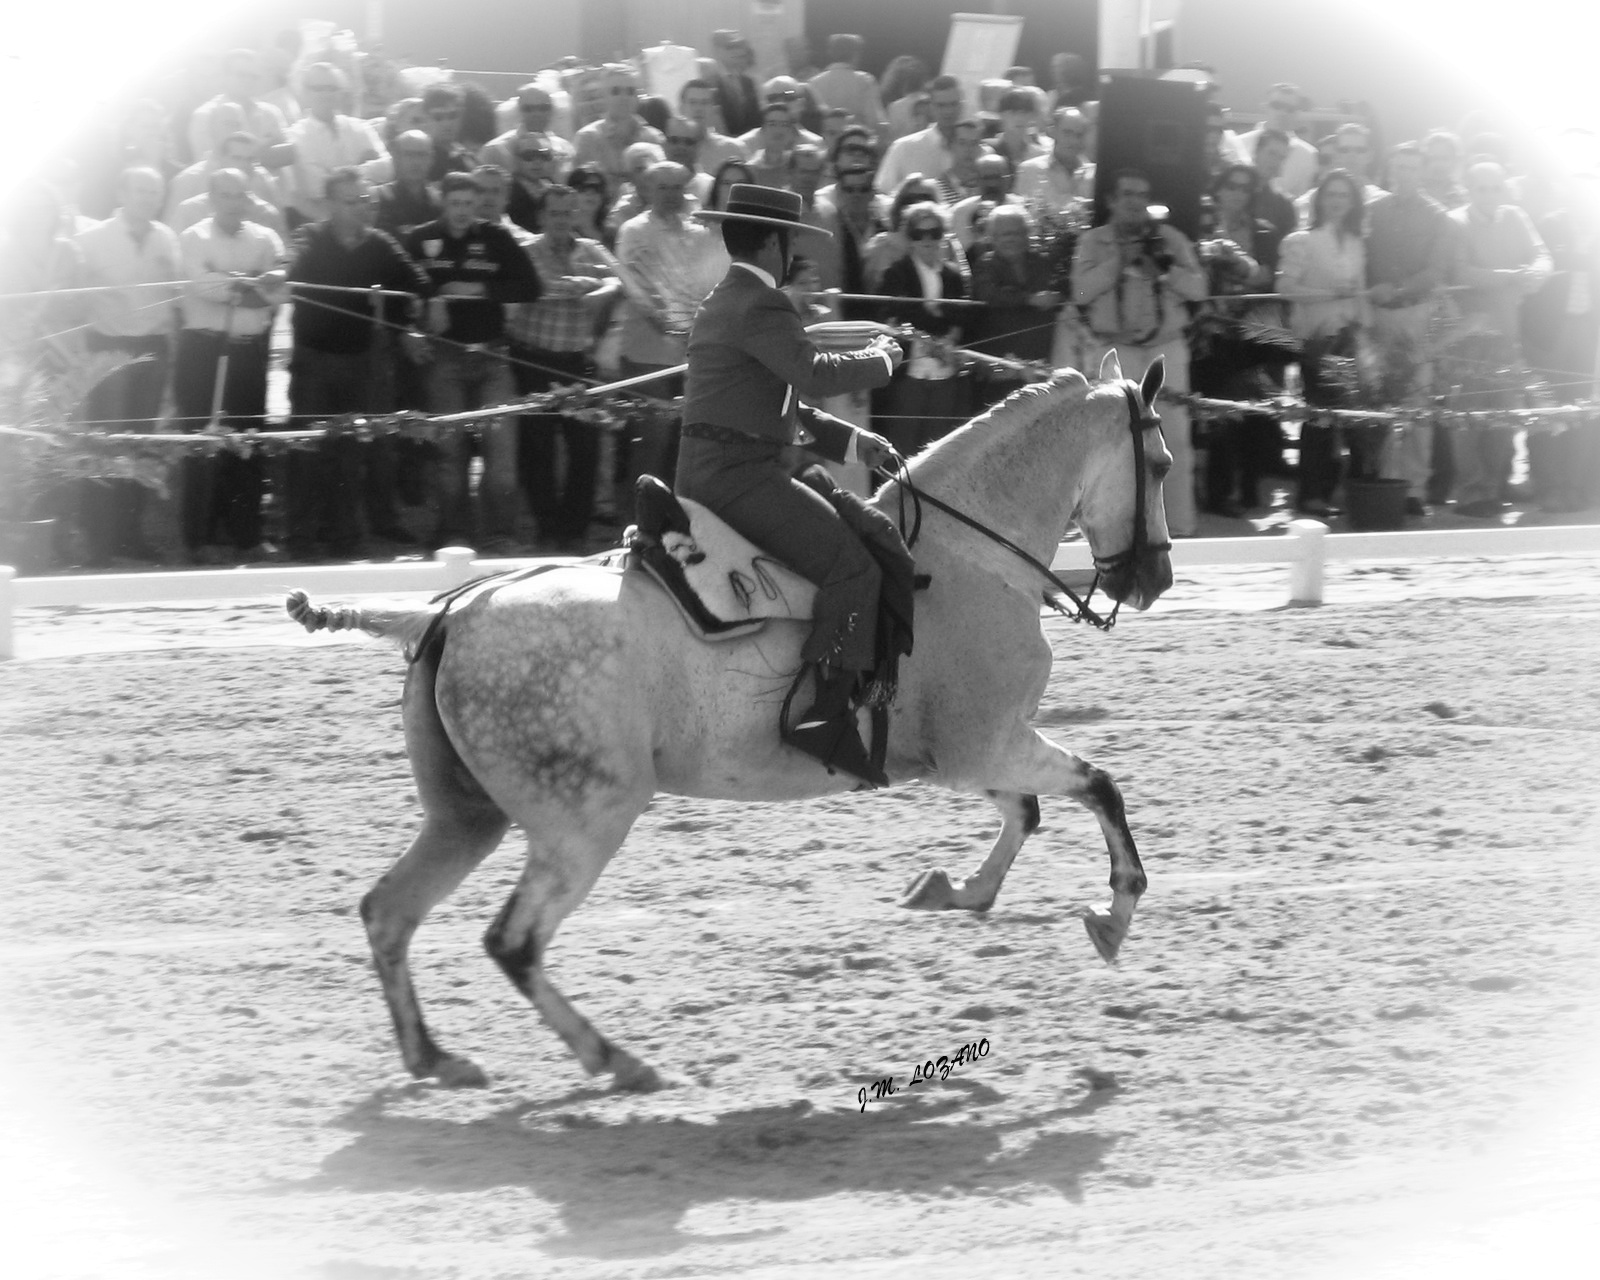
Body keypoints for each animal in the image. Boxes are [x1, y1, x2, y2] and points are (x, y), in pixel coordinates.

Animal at [285, 351, 1174, 1090]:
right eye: (1162, 462)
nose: (1154, 580)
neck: (962, 556)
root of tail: (450, 614)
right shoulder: (983, 743)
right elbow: (1099, 787)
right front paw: (1114, 915)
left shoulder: (963, 751)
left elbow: (1025, 813)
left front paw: (954, 889)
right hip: (582, 823)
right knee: (513, 942)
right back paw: (617, 1061)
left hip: (467, 818)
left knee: (390, 913)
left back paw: (435, 1056)